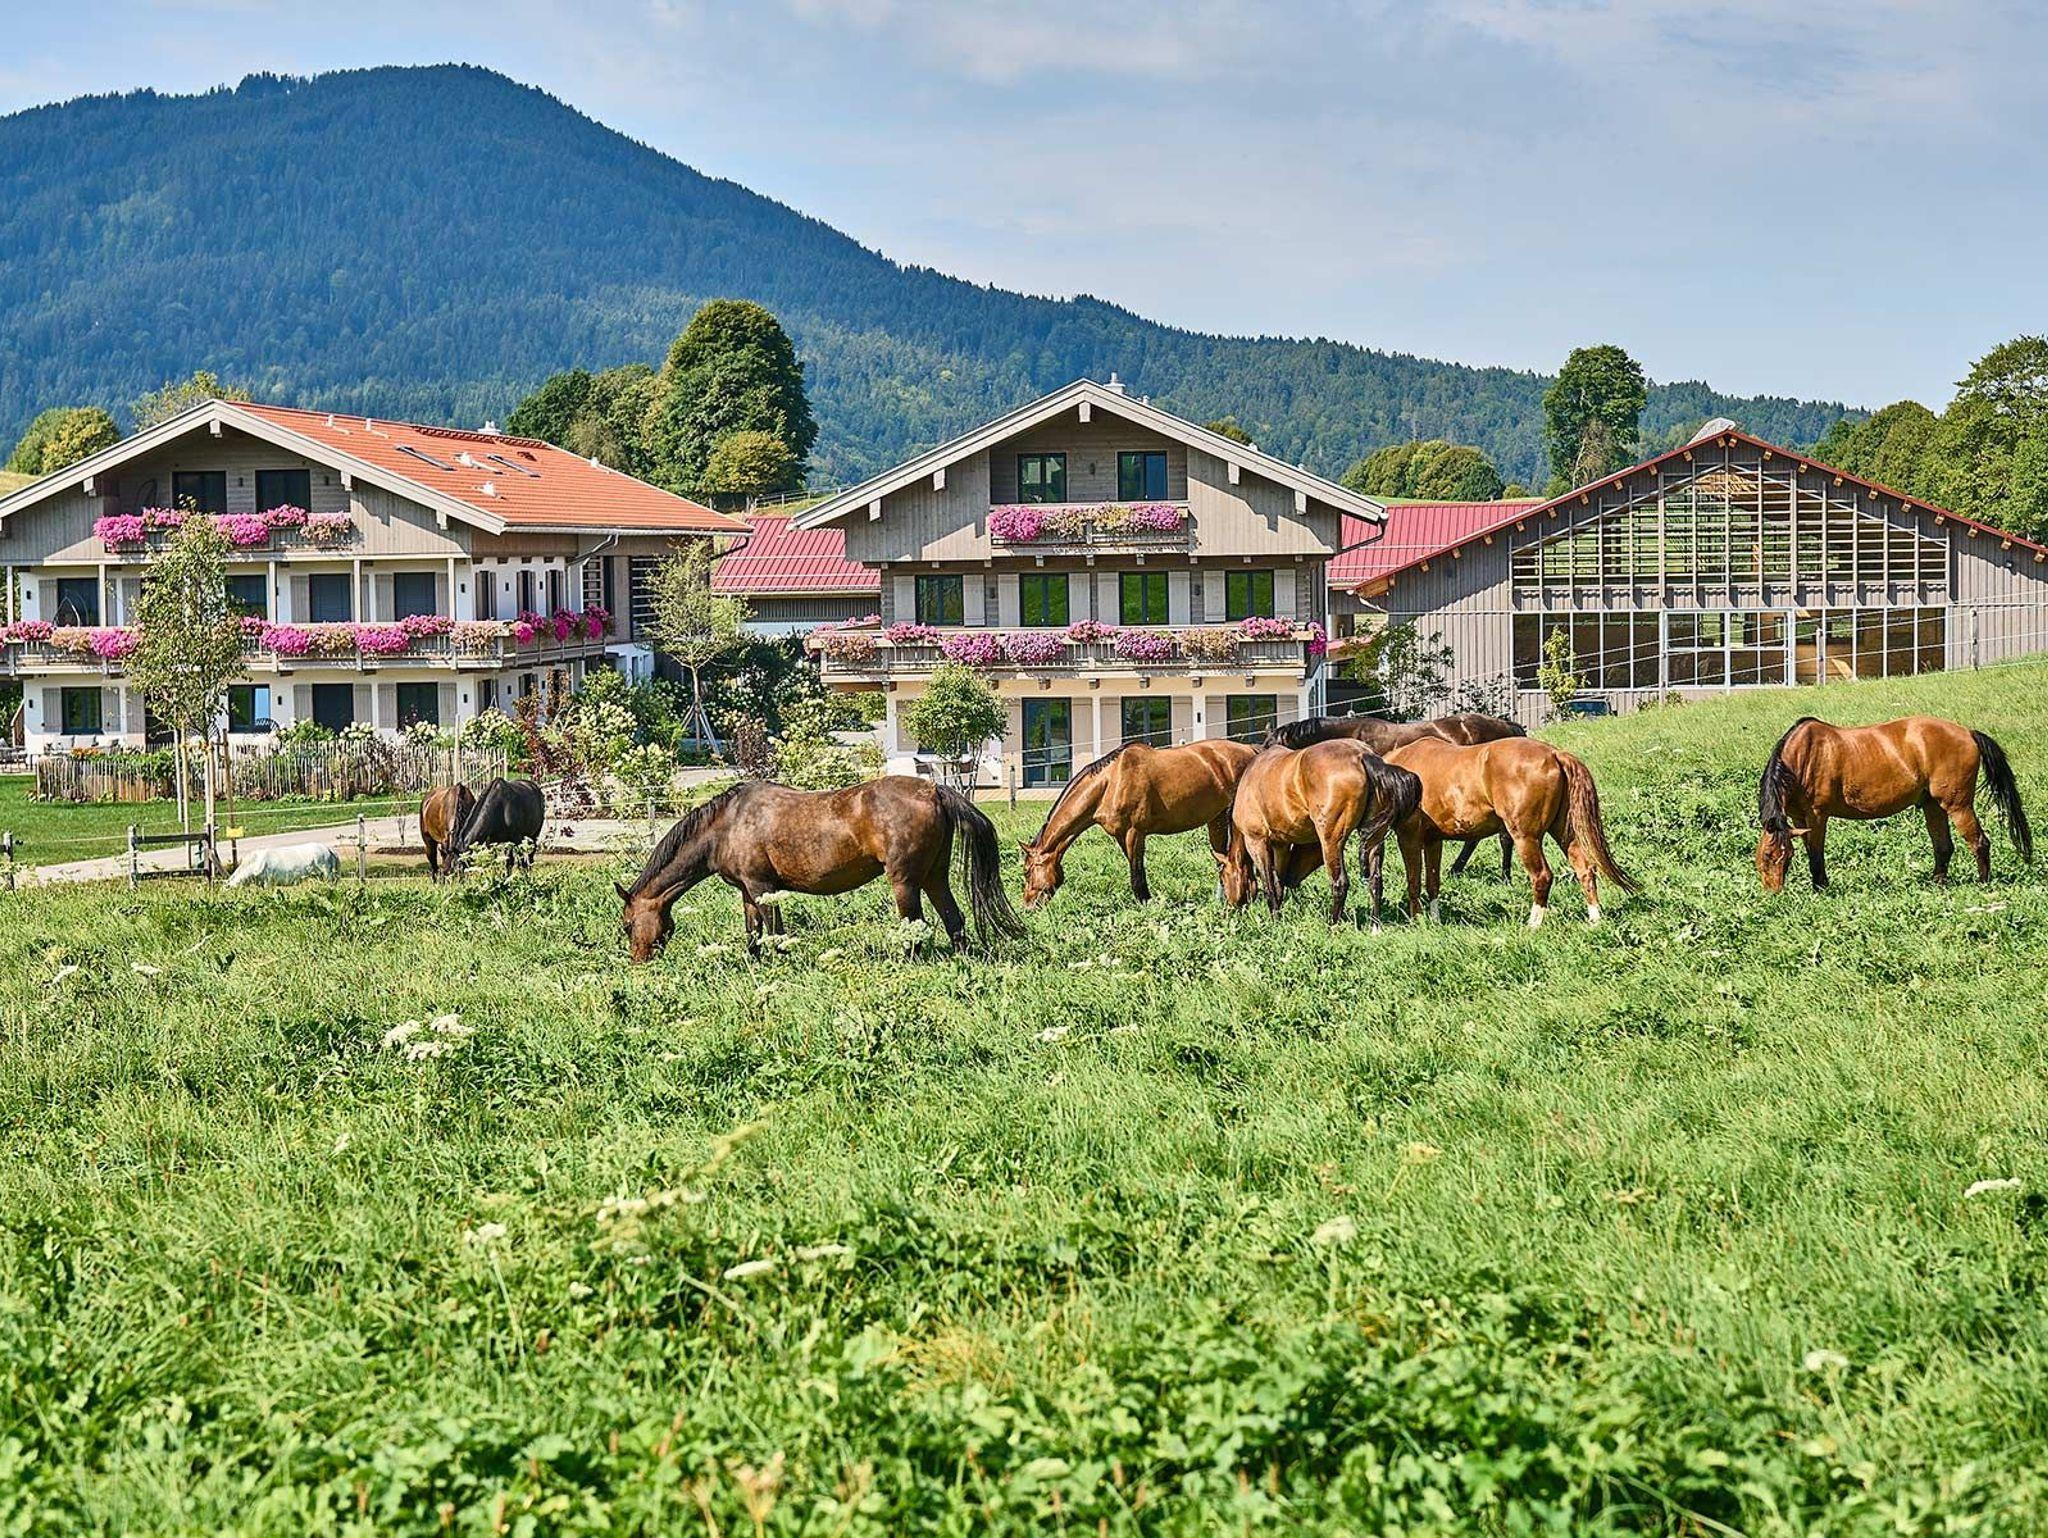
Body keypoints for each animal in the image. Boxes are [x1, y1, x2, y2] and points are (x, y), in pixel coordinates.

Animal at [618, 776, 1025, 961]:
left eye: (627, 924)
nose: (640, 961)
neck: (727, 824)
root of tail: (933, 790)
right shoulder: (748, 891)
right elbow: (754, 935)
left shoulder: (763, 886)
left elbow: (776, 931)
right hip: (933, 877)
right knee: (954, 919)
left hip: (905, 882)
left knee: (915, 925)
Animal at [1018, 739, 1257, 906]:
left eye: (1027, 871)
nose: (1028, 905)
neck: (1110, 783)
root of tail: (1250, 751)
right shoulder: (1121, 836)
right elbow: (1136, 870)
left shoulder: (1135, 833)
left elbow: (1137, 874)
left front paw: (1146, 903)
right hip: (1216, 818)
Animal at [1219, 741, 1422, 927]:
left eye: (1223, 878)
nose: (1230, 908)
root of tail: (1363, 755)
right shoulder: (1281, 845)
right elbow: (1278, 885)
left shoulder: (1256, 841)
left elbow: (1269, 886)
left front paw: (1275, 923)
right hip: (1374, 838)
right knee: (1375, 881)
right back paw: (1375, 926)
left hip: (1331, 841)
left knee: (1340, 883)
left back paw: (1332, 925)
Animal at [1381, 737, 1637, 927]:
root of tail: (1555, 755)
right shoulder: (1434, 840)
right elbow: (1432, 882)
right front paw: (1435, 922)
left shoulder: (1409, 837)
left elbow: (1413, 881)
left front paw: (1418, 922)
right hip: (1565, 834)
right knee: (1585, 870)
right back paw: (1594, 920)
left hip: (1525, 838)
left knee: (1542, 876)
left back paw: (1533, 925)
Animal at [1756, 716, 2032, 891]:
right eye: (1766, 855)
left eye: (1779, 856)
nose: (1774, 894)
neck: (1803, 757)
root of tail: (1968, 733)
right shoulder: (1799, 818)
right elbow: (1810, 850)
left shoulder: (1817, 815)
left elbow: (1816, 854)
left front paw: (1821, 887)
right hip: (1932, 805)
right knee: (1944, 847)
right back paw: (1937, 884)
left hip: (1958, 806)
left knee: (1979, 842)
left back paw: (1983, 884)